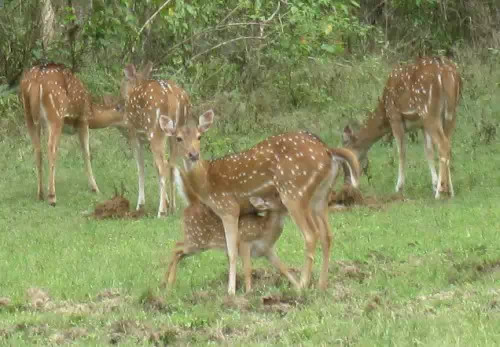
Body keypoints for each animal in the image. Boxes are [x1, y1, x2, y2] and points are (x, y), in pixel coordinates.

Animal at [19, 63, 125, 207]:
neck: (92, 112)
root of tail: (35, 81)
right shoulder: (83, 119)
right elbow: (87, 152)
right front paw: (95, 188)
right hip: (55, 114)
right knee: (51, 148)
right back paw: (52, 197)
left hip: (28, 116)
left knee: (38, 149)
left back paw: (40, 194)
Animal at [121, 62, 191, 218]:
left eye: (125, 81)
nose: (120, 102)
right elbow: (153, 167)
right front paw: (167, 202)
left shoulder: (134, 134)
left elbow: (141, 167)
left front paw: (140, 205)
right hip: (176, 133)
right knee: (171, 164)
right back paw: (173, 207)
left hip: (156, 131)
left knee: (163, 164)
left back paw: (161, 211)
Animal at [163, 193, 300, 294]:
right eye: (280, 199)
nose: (294, 203)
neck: (264, 230)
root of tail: (184, 212)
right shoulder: (244, 241)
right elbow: (248, 268)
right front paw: (249, 291)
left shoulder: (267, 250)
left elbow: (283, 267)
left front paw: (299, 287)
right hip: (197, 240)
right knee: (176, 248)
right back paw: (168, 283)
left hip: (195, 241)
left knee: (177, 249)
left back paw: (166, 282)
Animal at [342, 56, 462, 198]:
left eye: (345, 162)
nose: (347, 184)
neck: (384, 113)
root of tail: (448, 74)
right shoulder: (422, 125)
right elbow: (428, 151)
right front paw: (434, 184)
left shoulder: (395, 116)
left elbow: (401, 151)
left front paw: (399, 187)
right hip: (451, 113)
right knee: (447, 144)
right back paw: (450, 191)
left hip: (429, 111)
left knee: (443, 144)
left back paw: (440, 192)